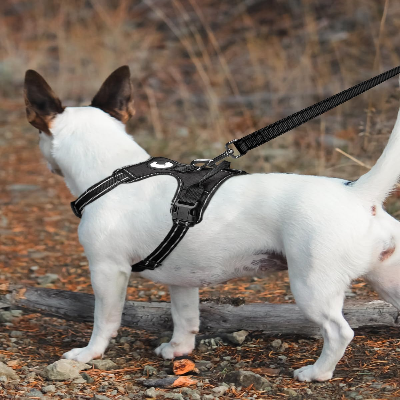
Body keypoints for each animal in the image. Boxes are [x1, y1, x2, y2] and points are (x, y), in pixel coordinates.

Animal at [24, 65, 400, 382]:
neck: (115, 172)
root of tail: (358, 194)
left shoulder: (107, 271)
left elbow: (105, 319)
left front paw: (88, 354)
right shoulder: (182, 280)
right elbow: (185, 317)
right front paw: (179, 350)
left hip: (312, 287)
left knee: (339, 331)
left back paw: (317, 372)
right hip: (387, 281)